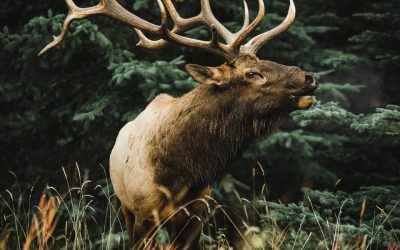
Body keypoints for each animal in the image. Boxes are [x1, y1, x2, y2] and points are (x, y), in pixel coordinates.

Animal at [40, 0, 318, 248]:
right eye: (251, 73)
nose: (310, 76)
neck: (180, 172)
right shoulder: (143, 213)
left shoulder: (195, 214)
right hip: (124, 206)